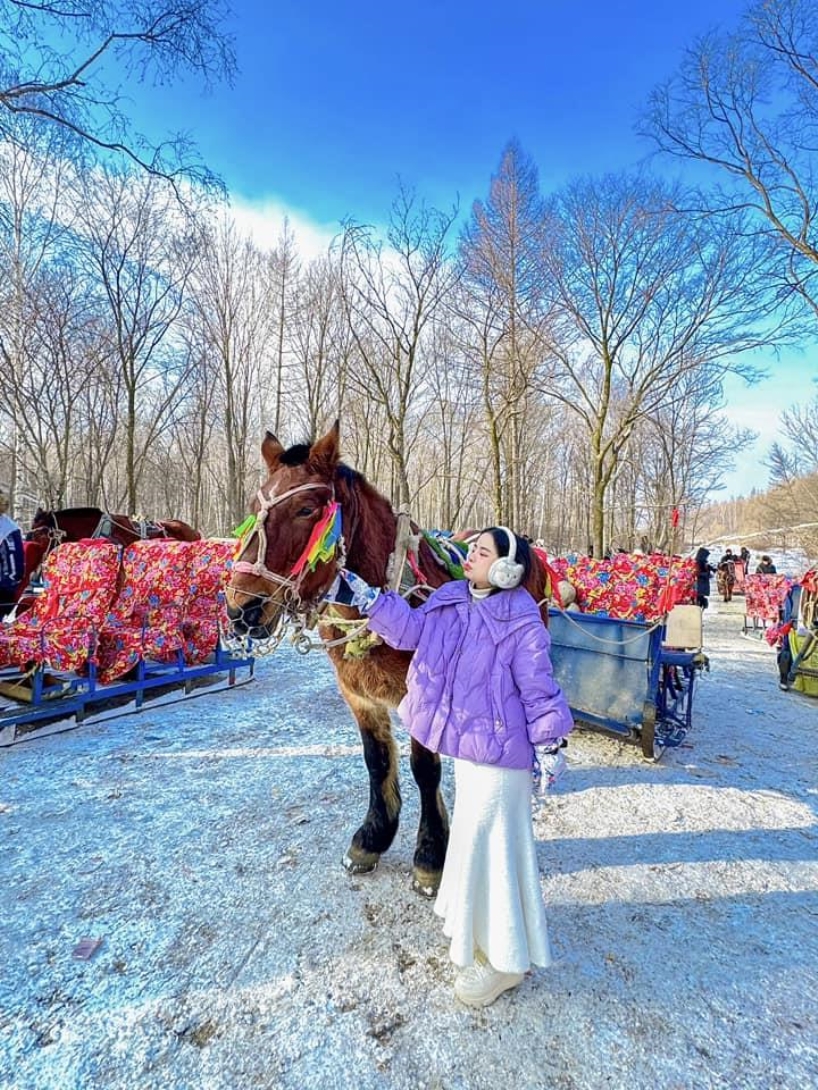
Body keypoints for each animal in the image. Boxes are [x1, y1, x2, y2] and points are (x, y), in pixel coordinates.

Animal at [224, 420, 551, 889]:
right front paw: (372, 837)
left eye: (306, 509)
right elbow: (376, 761)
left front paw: (431, 854)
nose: (242, 610)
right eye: (254, 507)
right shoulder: (358, 696)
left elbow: (424, 768)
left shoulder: (425, 696)